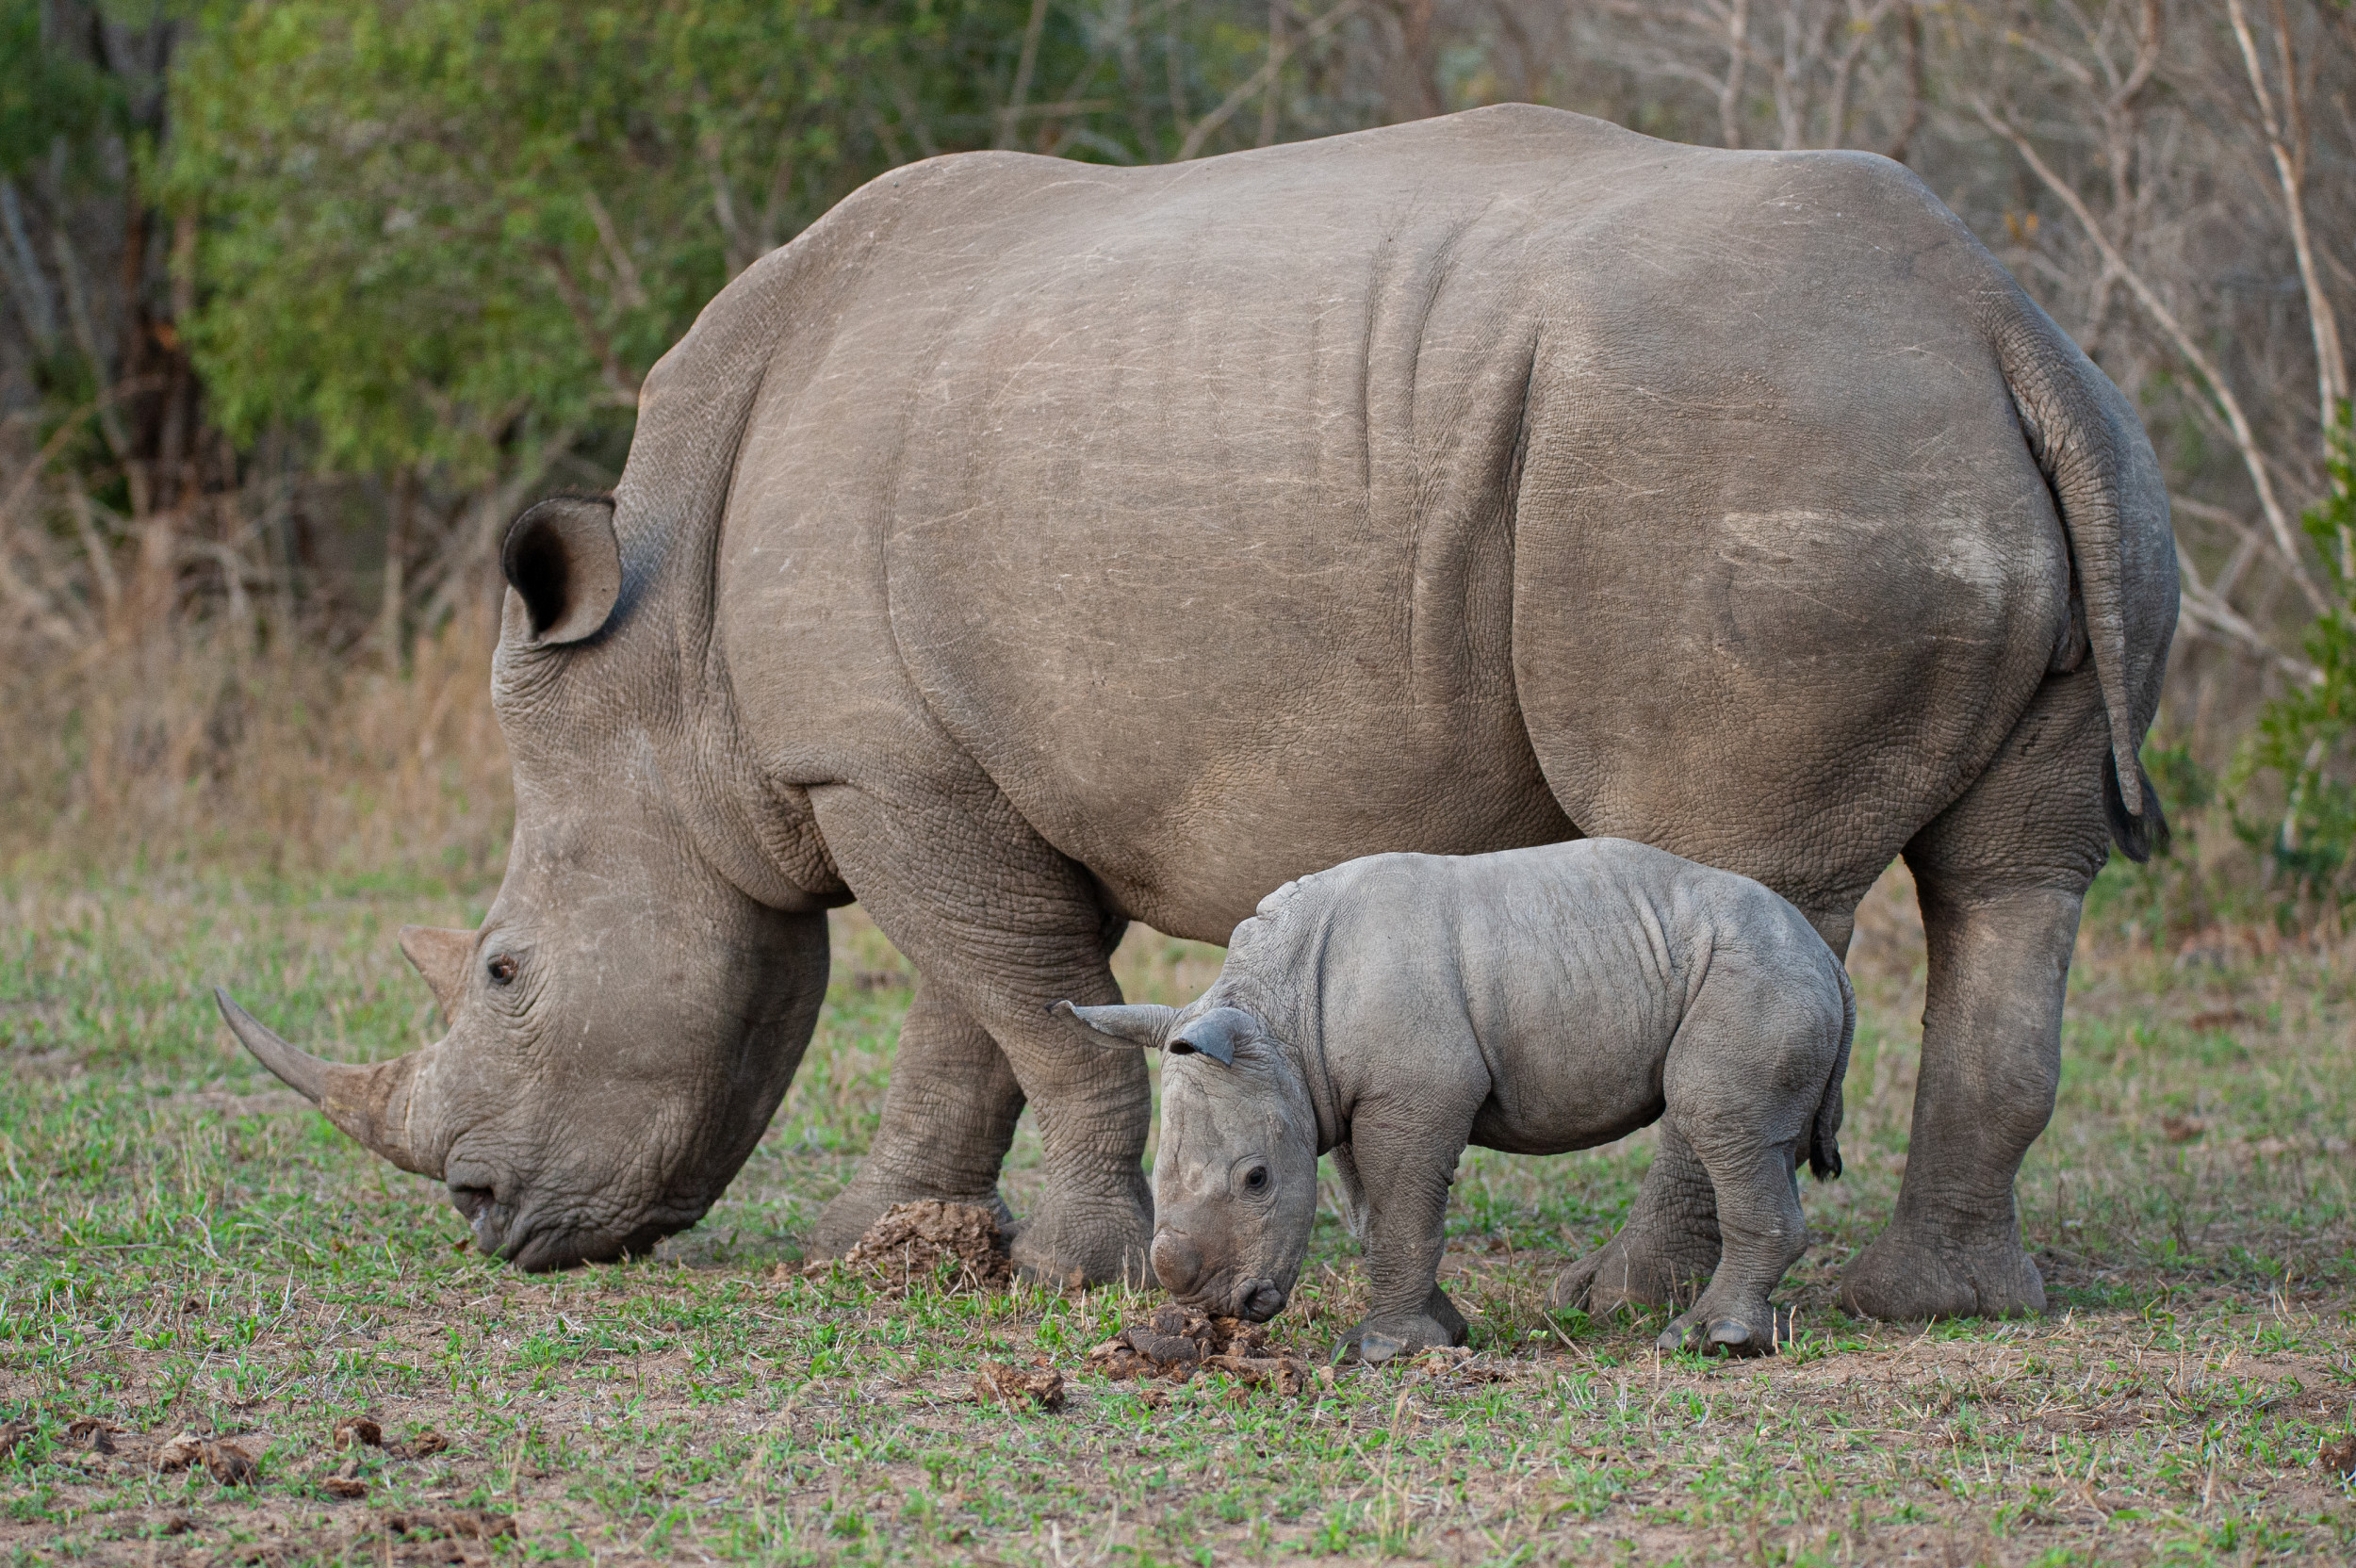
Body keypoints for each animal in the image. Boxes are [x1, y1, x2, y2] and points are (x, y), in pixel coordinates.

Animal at [1056, 838, 1854, 1360]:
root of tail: (1828, 958)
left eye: (1256, 1180)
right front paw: (1440, 1333)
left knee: (1719, 1122)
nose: (1223, 1308)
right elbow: (1373, 1214)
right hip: (1762, 970)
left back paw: (1711, 1340)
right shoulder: (1341, 1094)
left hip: (1760, 975)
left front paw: (1382, 1350)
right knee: (1747, 1134)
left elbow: (1404, 1213)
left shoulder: (1414, 1094)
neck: (1275, 1018)